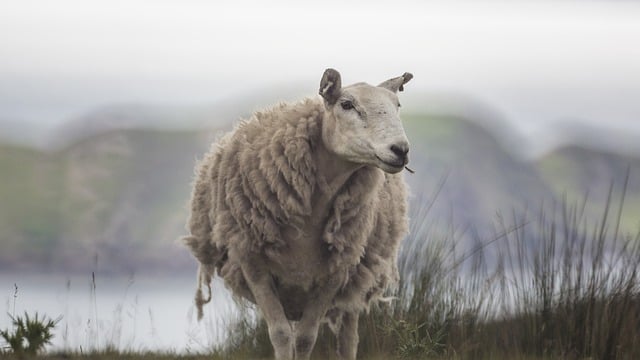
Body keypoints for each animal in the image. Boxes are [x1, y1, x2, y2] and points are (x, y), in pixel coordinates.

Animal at [182, 68, 412, 360]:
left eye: (397, 105)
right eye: (347, 104)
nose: (400, 150)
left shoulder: (336, 271)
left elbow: (305, 338)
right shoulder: (252, 261)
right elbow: (280, 335)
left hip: (355, 280)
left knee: (348, 337)